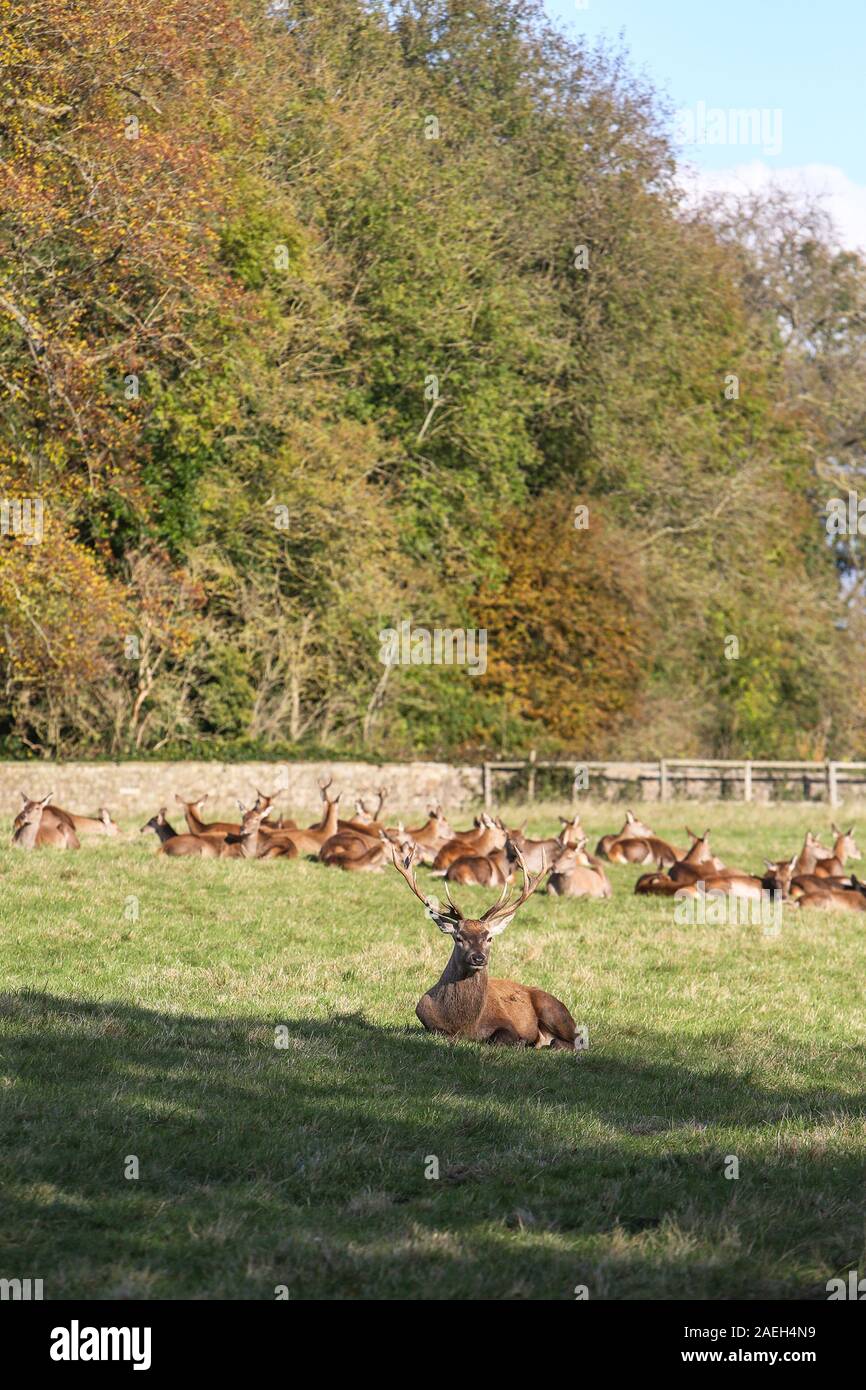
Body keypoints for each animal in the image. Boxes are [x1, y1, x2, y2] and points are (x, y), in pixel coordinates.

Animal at [391, 845, 583, 1050]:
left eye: (489, 938)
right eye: (458, 937)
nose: (478, 957)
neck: (465, 1024)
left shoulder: (507, 1022)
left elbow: (499, 1038)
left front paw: (521, 1042)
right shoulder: (427, 1021)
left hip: (553, 1010)